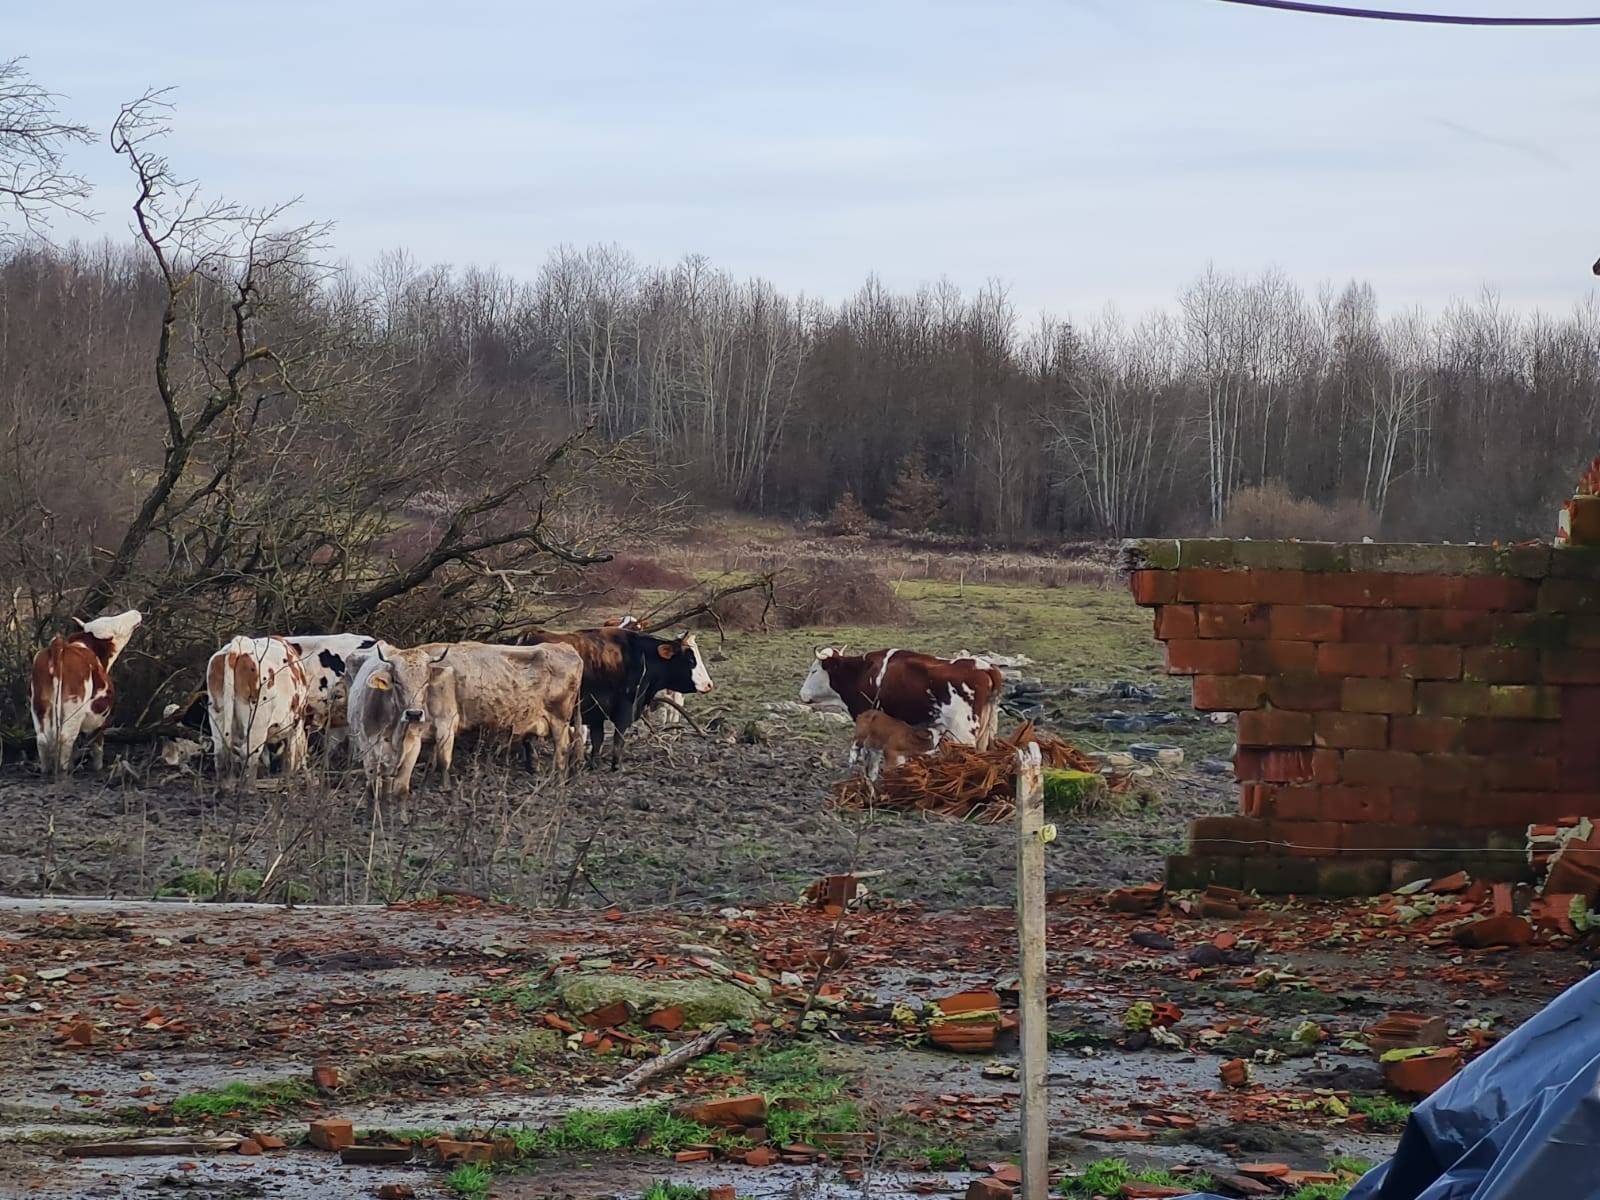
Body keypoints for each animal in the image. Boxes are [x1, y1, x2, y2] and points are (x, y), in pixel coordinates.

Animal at [28, 611, 143, 780]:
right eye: (115, 625)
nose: (136, 612)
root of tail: (59, 646)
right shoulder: (102, 721)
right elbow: (97, 745)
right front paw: (98, 768)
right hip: (73, 708)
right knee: (65, 738)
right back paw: (63, 774)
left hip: (38, 705)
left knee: (42, 739)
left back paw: (46, 771)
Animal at [206, 640, 312, 790]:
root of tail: (238, 646)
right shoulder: (296, 723)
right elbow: (289, 757)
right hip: (257, 720)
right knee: (249, 753)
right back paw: (249, 790)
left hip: (216, 712)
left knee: (220, 753)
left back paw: (223, 789)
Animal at [512, 624, 713, 774]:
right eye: (690, 660)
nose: (709, 684)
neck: (641, 657)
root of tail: (527, 636)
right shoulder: (625, 708)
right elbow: (618, 738)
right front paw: (616, 765)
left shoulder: (596, 714)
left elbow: (598, 739)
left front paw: (594, 763)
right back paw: (533, 765)